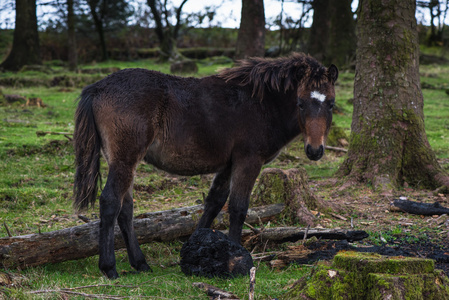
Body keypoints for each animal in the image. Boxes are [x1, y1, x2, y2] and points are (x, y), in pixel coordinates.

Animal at [73, 53, 338, 278]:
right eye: (300, 103)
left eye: (331, 104)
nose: (315, 150)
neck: (262, 103)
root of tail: (97, 88)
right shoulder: (248, 160)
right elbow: (238, 207)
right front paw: (238, 258)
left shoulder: (228, 164)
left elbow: (214, 203)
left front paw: (193, 248)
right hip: (125, 159)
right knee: (110, 202)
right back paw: (109, 268)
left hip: (122, 161)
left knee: (125, 208)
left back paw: (140, 263)